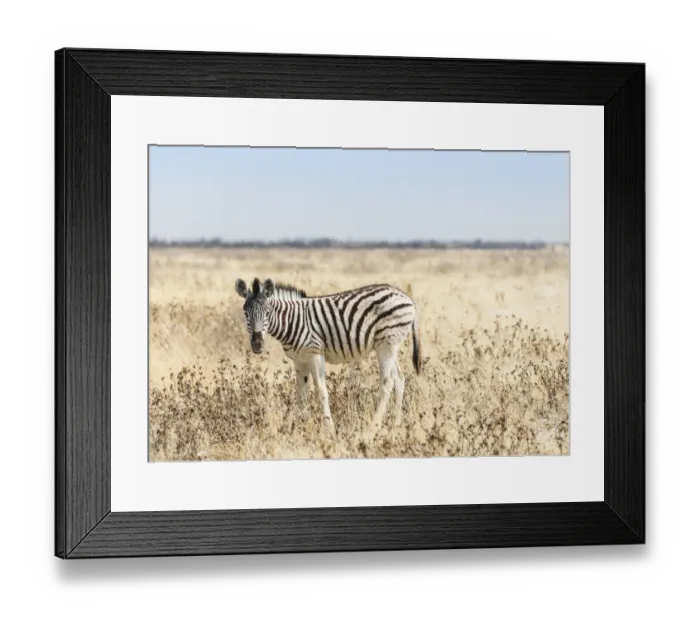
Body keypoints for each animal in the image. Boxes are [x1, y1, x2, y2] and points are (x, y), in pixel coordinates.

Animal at [235, 277, 422, 436]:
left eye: (267, 312)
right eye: (245, 313)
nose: (257, 344)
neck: (292, 321)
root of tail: (407, 298)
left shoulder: (315, 354)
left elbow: (321, 390)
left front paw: (328, 428)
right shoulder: (299, 360)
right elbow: (301, 395)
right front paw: (298, 426)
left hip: (386, 345)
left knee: (387, 384)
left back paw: (373, 427)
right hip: (390, 346)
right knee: (399, 378)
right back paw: (396, 424)